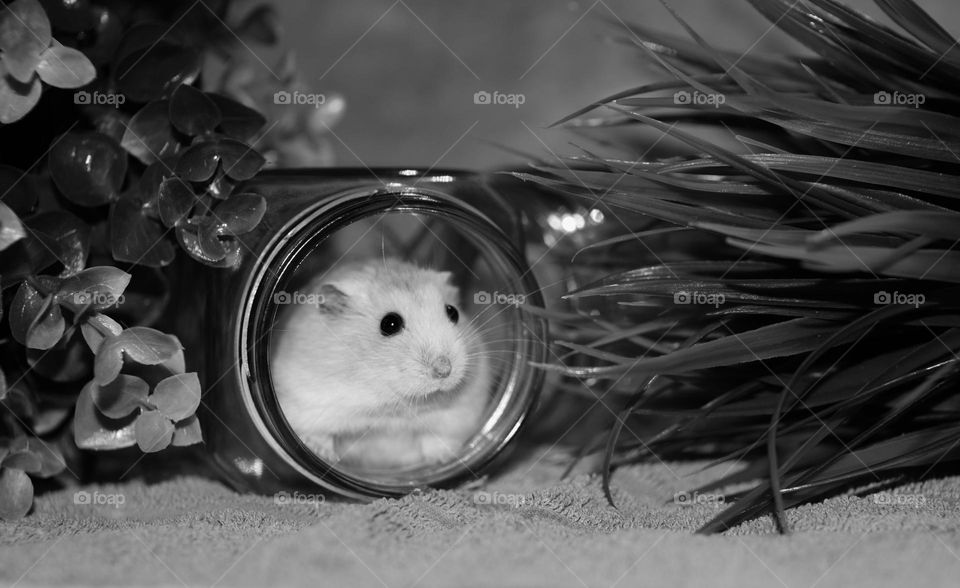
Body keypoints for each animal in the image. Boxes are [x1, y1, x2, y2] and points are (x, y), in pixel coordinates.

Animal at [269, 258, 492, 471]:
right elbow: (319, 433)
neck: (391, 404)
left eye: (453, 312)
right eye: (390, 324)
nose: (444, 370)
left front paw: (444, 459)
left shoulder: (458, 414)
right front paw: (321, 453)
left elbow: (437, 438)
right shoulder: (309, 402)